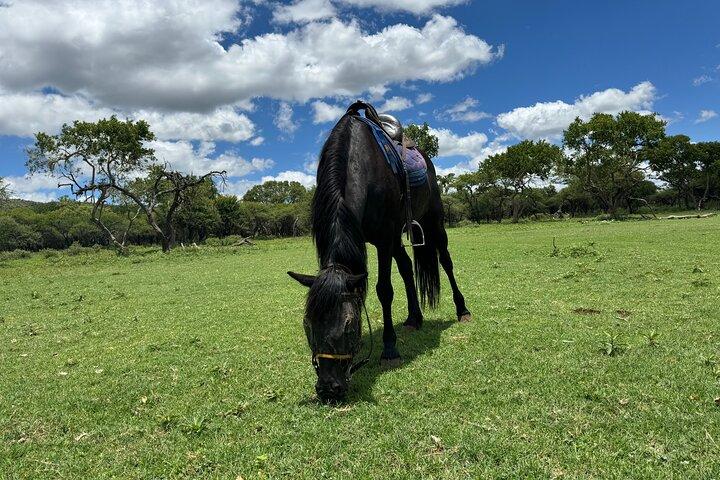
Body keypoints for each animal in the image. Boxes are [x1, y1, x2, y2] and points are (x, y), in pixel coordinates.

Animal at [288, 102, 471, 403]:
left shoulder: (385, 239)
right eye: (307, 324)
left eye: (349, 325)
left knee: (445, 261)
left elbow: (384, 290)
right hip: (399, 237)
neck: (360, 162)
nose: (328, 389)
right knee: (407, 268)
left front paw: (389, 349)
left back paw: (462, 310)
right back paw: (414, 319)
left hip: (433, 221)